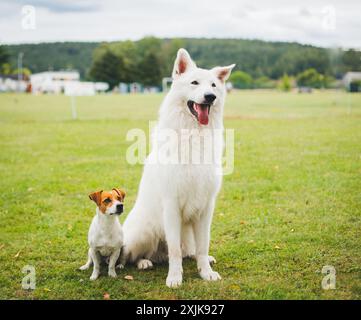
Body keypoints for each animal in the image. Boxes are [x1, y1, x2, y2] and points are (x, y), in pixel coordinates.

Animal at [121, 48, 233, 288]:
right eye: (194, 83)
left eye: (213, 86)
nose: (210, 97)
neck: (194, 135)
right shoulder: (171, 206)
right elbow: (174, 251)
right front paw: (174, 277)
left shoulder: (206, 208)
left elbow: (203, 245)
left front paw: (206, 272)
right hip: (145, 232)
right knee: (131, 255)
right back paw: (144, 262)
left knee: (190, 250)